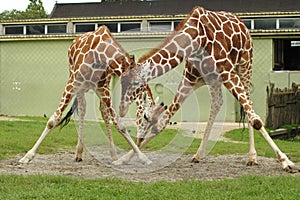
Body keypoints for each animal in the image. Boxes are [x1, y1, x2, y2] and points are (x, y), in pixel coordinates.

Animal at [19, 25, 155, 165]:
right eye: (137, 83)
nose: (149, 118)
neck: (101, 55)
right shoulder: (73, 83)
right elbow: (53, 120)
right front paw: (27, 156)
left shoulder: (102, 88)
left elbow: (119, 124)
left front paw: (143, 158)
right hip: (77, 84)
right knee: (82, 108)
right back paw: (78, 153)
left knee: (102, 112)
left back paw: (109, 154)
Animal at [118, 6, 298, 172]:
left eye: (144, 116)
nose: (121, 108)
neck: (194, 37)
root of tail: (242, 24)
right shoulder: (189, 79)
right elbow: (161, 124)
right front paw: (125, 158)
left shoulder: (227, 71)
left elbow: (257, 121)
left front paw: (286, 162)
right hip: (214, 80)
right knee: (218, 104)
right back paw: (198, 154)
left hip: (245, 65)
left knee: (249, 105)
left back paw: (252, 158)